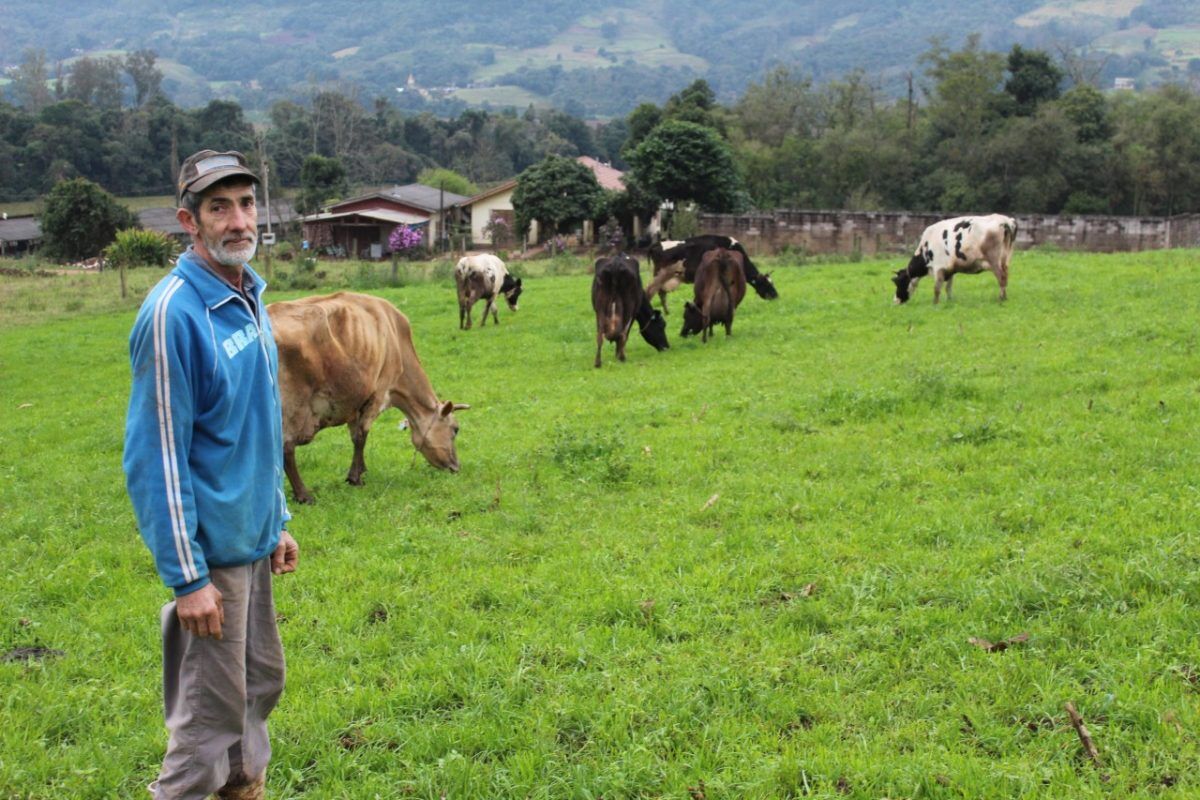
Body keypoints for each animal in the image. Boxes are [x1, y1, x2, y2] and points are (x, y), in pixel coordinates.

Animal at [267, 291, 468, 503]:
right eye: (455, 429)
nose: (456, 467)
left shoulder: (356, 403)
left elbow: (355, 436)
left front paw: (362, 470)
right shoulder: (378, 394)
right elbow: (361, 436)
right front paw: (355, 478)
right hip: (292, 405)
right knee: (286, 447)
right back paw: (304, 495)